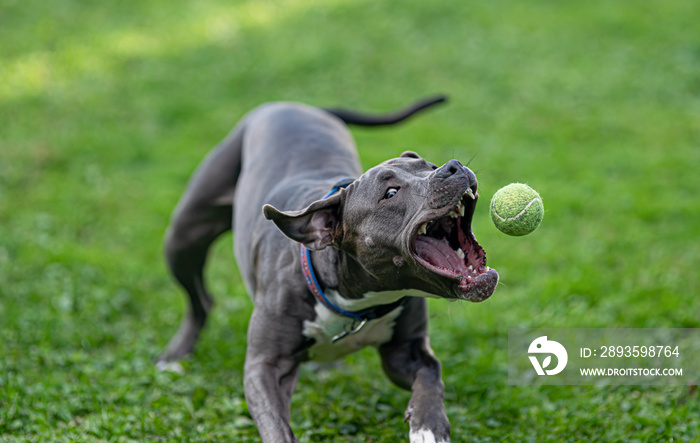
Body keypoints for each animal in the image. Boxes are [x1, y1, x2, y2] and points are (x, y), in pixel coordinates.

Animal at [158, 95, 498, 442]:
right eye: (390, 193)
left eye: (429, 166)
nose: (453, 166)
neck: (358, 299)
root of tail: (291, 104)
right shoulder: (266, 366)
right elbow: (276, 427)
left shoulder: (406, 352)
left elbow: (431, 377)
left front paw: (428, 426)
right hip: (183, 238)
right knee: (199, 300)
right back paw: (174, 357)